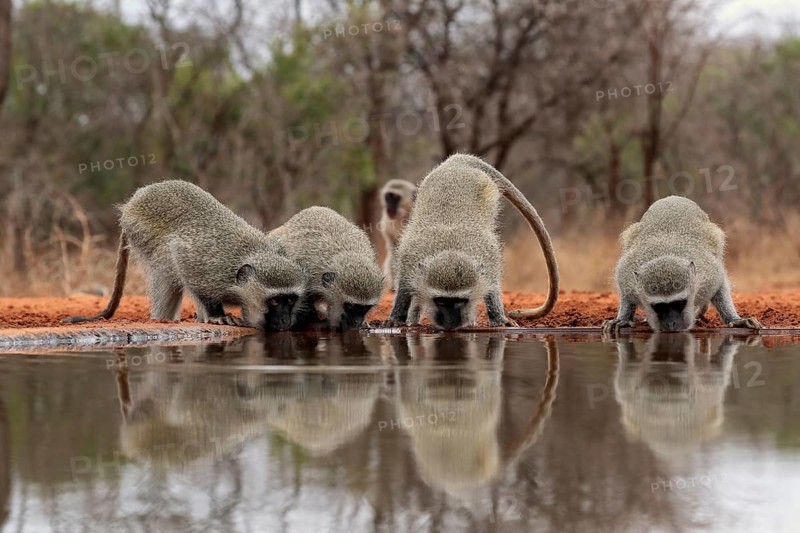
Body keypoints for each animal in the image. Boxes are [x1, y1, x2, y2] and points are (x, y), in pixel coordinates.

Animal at [64, 180, 305, 331]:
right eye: (275, 301)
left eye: (290, 300)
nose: (285, 320)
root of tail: (131, 203)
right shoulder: (204, 263)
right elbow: (184, 266)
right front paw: (217, 315)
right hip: (140, 231)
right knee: (166, 270)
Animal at [382, 153, 559, 330]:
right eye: (440, 301)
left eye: (460, 301)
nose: (450, 322)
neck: (450, 247)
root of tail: (458, 161)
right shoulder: (409, 260)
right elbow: (404, 288)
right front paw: (396, 317)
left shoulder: (488, 259)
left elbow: (492, 286)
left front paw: (498, 318)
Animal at [603, 196, 762, 334]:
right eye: (659, 307)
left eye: (679, 303)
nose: (671, 324)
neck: (665, 254)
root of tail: (673, 197)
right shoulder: (627, 276)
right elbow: (626, 293)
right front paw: (623, 319)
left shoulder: (708, 274)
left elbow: (719, 285)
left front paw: (734, 319)